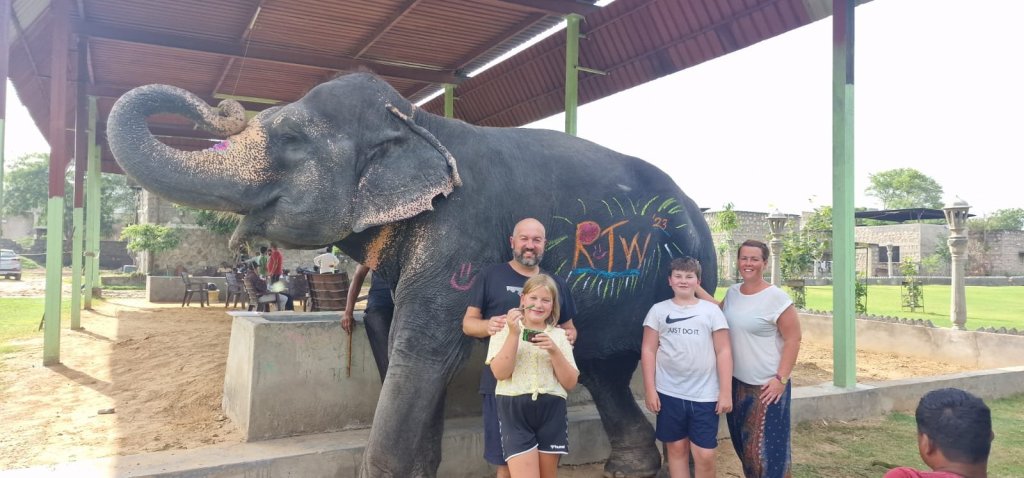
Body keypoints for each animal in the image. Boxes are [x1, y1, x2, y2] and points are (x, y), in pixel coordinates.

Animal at [107, 72, 717, 477]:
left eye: (291, 141)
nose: (224, 105)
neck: (419, 122)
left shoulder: (462, 223)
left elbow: (425, 344)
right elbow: (386, 324)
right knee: (599, 365)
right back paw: (631, 467)